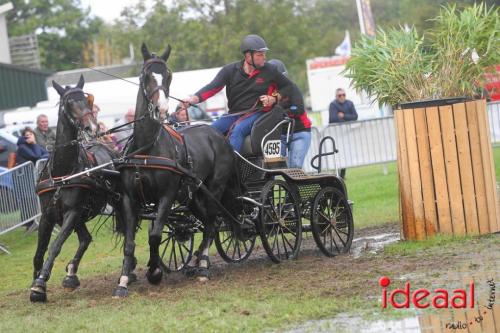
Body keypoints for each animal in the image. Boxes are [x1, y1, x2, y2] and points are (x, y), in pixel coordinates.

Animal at [29, 76, 123, 304]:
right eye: (69, 103)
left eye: (87, 100)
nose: (92, 126)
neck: (62, 174)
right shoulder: (48, 216)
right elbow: (39, 251)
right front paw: (36, 285)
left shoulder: (72, 213)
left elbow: (55, 245)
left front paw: (40, 283)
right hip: (80, 216)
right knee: (85, 239)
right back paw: (71, 274)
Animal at [114, 44, 238, 296]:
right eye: (146, 76)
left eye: (168, 75)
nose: (161, 108)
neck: (147, 148)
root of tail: (217, 135)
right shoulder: (130, 199)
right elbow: (130, 242)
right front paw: (123, 281)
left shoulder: (166, 196)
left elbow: (154, 235)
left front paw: (154, 272)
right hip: (194, 197)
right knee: (206, 222)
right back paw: (198, 261)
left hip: (214, 190)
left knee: (211, 224)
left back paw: (203, 269)